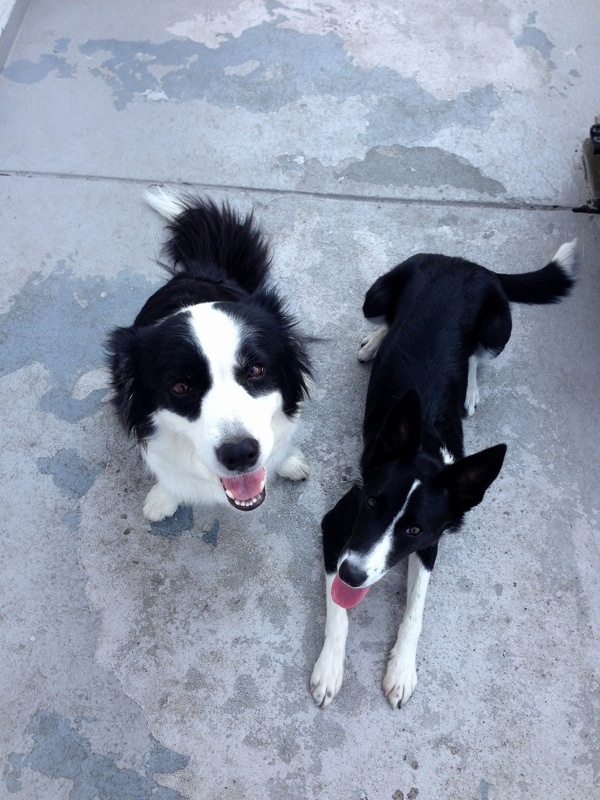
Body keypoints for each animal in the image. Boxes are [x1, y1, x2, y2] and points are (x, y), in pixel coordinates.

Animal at [108, 188, 311, 521]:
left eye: (256, 370)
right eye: (180, 387)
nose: (240, 454)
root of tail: (201, 269)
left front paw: (287, 460)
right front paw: (164, 497)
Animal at [310, 240, 578, 709]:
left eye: (415, 530)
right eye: (373, 502)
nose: (353, 576)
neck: (428, 447)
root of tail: (467, 264)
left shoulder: (432, 541)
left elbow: (415, 609)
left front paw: (401, 669)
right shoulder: (338, 525)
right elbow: (339, 609)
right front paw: (329, 668)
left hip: (498, 330)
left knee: (475, 354)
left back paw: (469, 389)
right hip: (376, 294)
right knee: (385, 317)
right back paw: (376, 341)